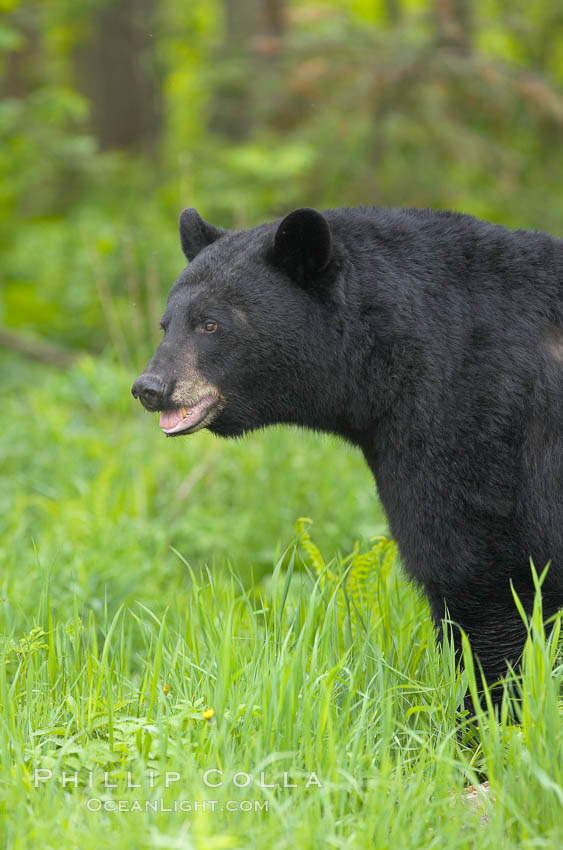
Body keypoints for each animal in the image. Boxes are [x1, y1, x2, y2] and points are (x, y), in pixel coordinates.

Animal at [133, 205, 563, 704]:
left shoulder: (476, 423)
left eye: (210, 323)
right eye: (166, 324)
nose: (149, 387)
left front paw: (489, 714)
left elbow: (478, 574)